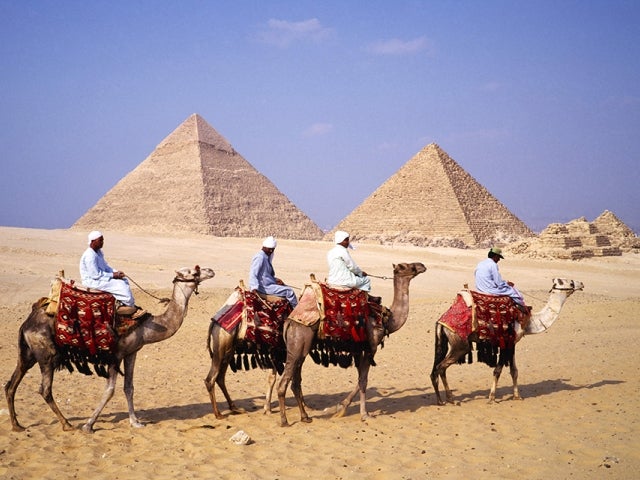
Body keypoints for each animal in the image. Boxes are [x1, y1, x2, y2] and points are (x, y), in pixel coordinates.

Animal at [4, 264, 215, 434]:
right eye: (193, 271)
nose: (210, 270)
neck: (147, 327)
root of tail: (27, 323)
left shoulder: (132, 352)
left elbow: (129, 387)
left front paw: (135, 422)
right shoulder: (116, 355)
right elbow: (110, 390)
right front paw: (88, 425)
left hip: (28, 353)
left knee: (11, 384)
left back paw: (17, 425)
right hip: (46, 354)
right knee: (45, 389)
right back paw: (67, 424)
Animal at [276, 262, 424, 428]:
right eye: (406, 266)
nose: (422, 265)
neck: (386, 319)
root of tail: (289, 321)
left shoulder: (359, 351)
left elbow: (360, 380)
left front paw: (340, 407)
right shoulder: (370, 348)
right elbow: (363, 381)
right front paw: (364, 414)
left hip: (301, 348)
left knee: (295, 382)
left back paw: (305, 417)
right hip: (299, 341)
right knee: (284, 383)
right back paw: (284, 421)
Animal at [432, 278, 584, 404]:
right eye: (569, 282)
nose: (581, 284)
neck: (530, 321)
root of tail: (441, 321)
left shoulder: (512, 342)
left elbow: (514, 370)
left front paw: (517, 396)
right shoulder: (506, 341)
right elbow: (498, 370)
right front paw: (492, 398)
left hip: (444, 340)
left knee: (435, 369)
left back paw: (441, 400)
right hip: (460, 344)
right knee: (441, 367)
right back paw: (450, 399)